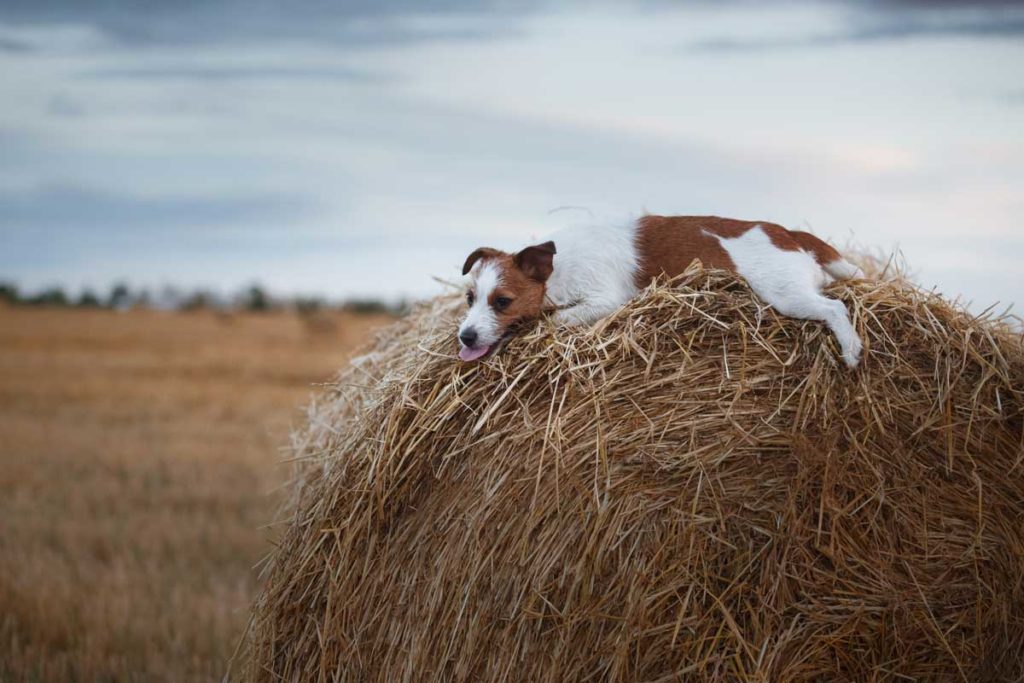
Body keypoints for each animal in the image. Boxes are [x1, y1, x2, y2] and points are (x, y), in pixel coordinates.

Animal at [458, 216, 864, 368]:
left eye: (502, 302)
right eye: (469, 298)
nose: (465, 336)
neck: (558, 267)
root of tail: (788, 232)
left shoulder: (605, 299)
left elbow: (556, 319)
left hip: (786, 294)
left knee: (836, 308)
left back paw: (851, 350)